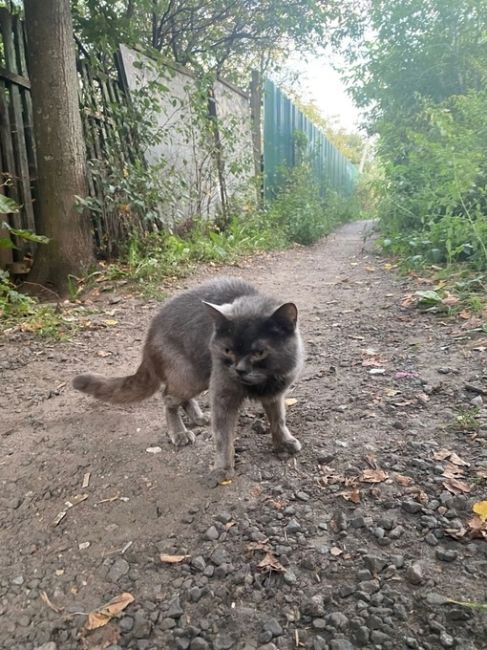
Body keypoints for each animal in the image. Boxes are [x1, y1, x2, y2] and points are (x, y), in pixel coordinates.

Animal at [73, 274, 304, 480]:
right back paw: (179, 432)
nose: (239, 369)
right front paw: (223, 468)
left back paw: (198, 417)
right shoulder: (223, 393)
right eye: (228, 350)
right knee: (168, 397)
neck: (262, 383)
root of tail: (149, 337)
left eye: (259, 352)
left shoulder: (276, 392)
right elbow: (223, 435)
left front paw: (284, 442)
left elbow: (278, 418)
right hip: (190, 374)